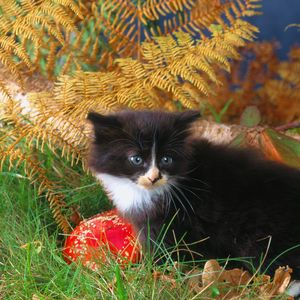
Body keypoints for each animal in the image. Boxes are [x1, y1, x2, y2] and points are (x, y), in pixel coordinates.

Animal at [86, 109, 300, 278]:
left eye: (166, 159)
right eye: (136, 159)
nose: (154, 177)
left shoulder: (167, 222)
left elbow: (164, 250)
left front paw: (150, 272)